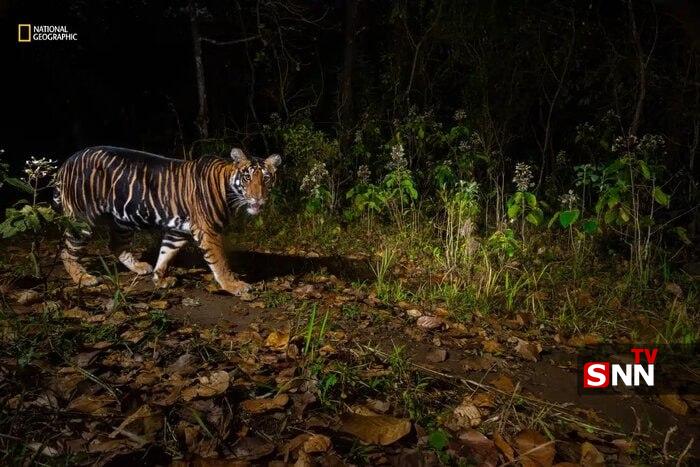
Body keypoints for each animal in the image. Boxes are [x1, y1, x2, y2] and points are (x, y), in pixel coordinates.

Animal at [54, 145, 282, 296]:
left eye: (266, 178)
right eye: (247, 177)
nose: (258, 198)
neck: (229, 190)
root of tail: (67, 161)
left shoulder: (178, 231)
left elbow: (166, 253)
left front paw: (159, 279)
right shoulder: (208, 231)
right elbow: (220, 262)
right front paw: (234, 286)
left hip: (123, 220)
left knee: (116, 245)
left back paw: (139, 267)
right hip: (82, 219)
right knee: (67, 251)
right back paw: (84, 278)